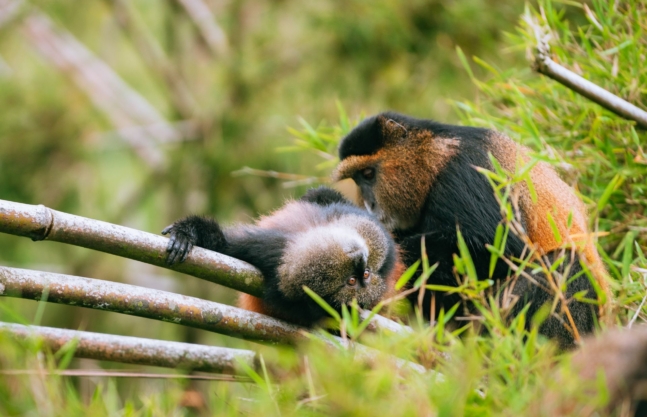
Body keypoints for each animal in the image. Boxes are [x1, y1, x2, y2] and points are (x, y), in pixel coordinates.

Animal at [333, 111, 609, 348]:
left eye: (368, 174)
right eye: (357, 179)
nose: (369, 204)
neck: (437, 157)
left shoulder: (469, 171)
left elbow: (498, 250)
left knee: (566, 264)